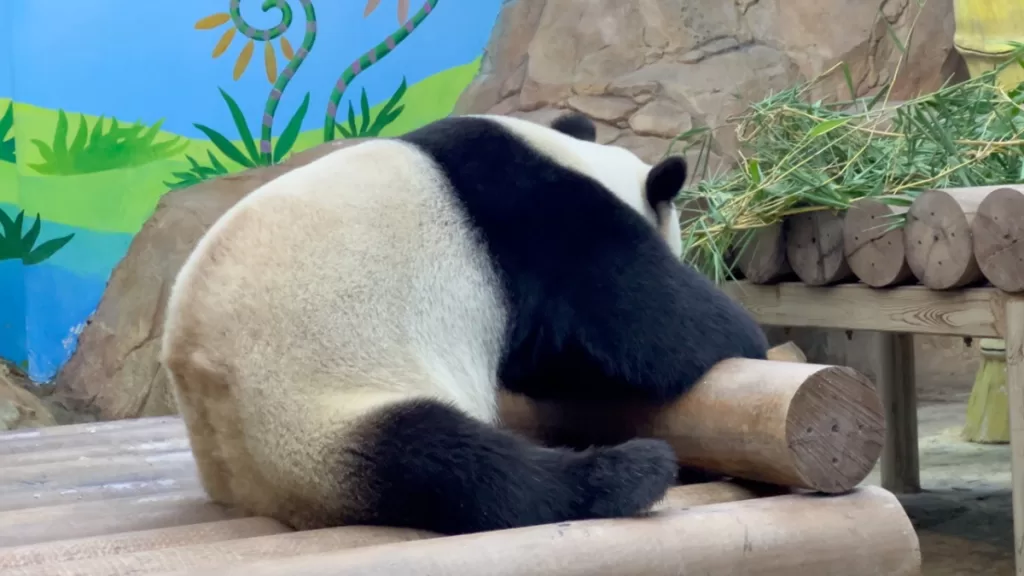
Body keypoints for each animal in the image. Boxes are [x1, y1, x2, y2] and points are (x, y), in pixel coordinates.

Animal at [160, 111, 769, 537]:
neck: (575, 158)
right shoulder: (541, 220)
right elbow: (638, 319)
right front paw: (746, 338)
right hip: (311, 409)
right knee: (456, 465)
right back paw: (630, 472)